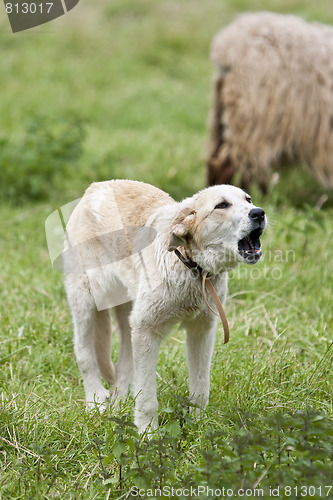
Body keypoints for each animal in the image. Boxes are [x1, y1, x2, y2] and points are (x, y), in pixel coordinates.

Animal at [63, 181, 266, 434]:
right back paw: (95, 400)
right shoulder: (146, 331)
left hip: (129, 316)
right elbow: (147, 398)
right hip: (86, 302)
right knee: (84, 354)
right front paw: (148, 433)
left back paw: (119, 402)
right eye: (221, 205)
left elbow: (201, 387)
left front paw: (198, 426)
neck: (191, 267)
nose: (259, 213)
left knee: (123, 364)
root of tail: (94, 187)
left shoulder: (202, 330)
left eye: (248, 200)